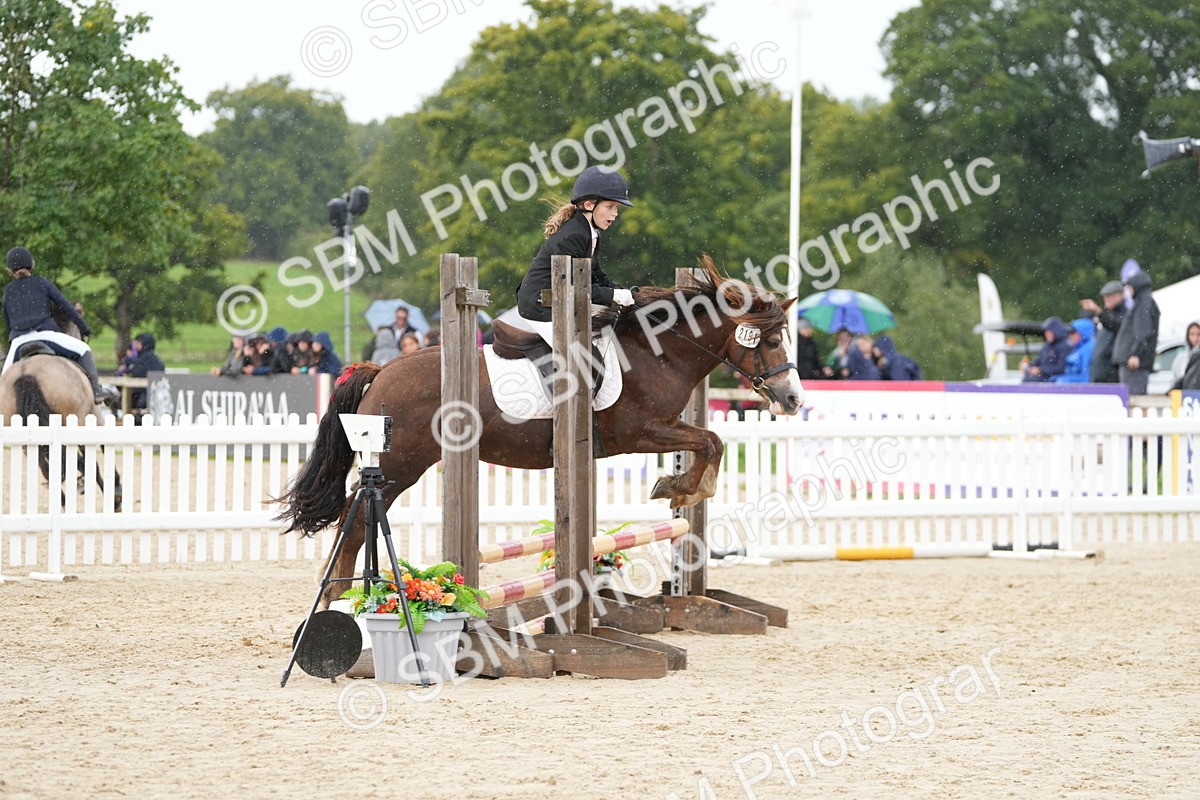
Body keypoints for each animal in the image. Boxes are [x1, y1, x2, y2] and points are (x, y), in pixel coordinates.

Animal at [0, 354, 123, 510]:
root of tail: (25, 374)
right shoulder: (94, 414)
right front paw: (116, 492)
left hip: (26, 441)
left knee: (47, 469)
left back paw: (64, 503)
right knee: (87, 463)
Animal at [277, 256, 802, 604]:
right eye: (770, 341)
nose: (794, 400)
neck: (659, 352)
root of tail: (381, 370)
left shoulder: (662, 428)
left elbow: (711, 441)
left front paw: (678, 486)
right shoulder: (641, 432)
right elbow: (711, 442)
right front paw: (680, 487)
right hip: (402, 463)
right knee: (354, 514)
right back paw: (338, 599)